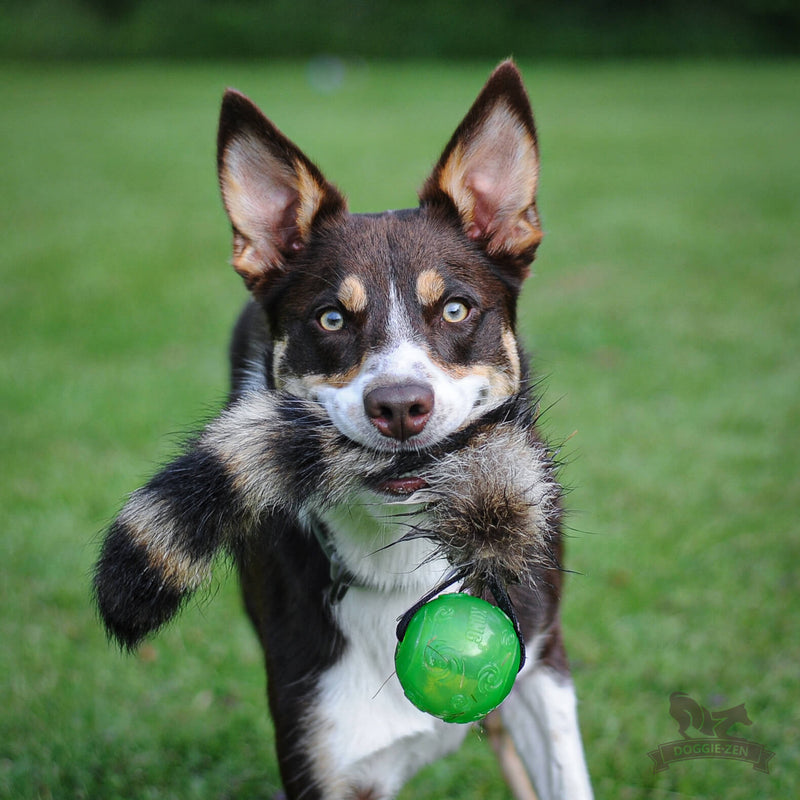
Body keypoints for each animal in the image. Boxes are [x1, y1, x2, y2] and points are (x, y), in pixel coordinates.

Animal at [94, 62, 592, 800]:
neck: (404, 564)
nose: (400, 406)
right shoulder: (318, 749)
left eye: (454, 309)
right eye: (331, 318)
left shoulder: (544, 666)